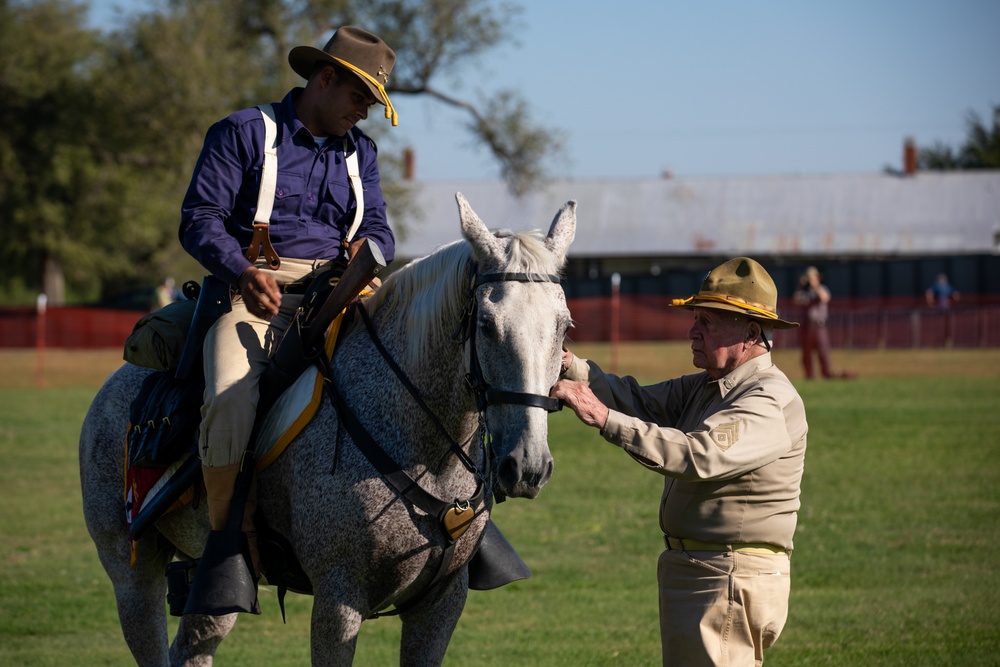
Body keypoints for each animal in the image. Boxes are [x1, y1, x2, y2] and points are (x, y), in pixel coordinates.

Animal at [80, 194, 580, 667]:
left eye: (564, 327)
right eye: (487, 325)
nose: (527, 467)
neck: (425, 454)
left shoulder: (441, 603)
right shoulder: (338, 601)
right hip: (132, 575)